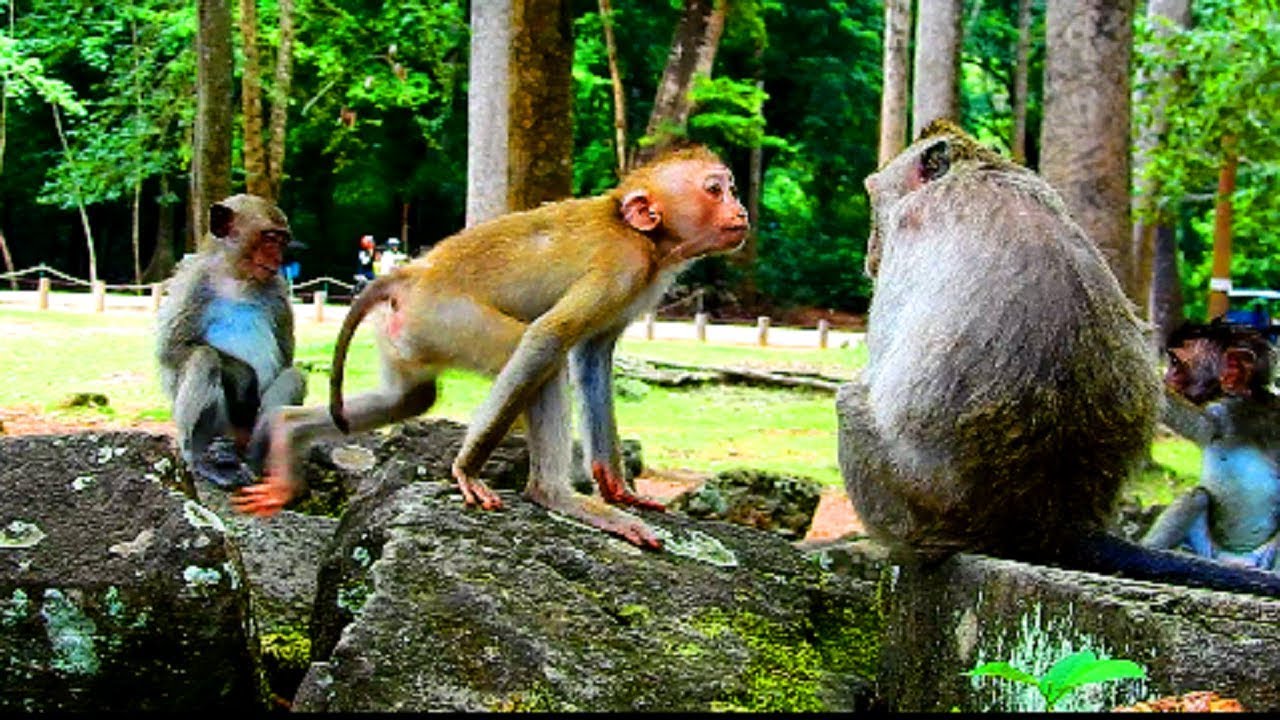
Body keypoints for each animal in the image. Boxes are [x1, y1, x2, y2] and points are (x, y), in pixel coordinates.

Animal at [157, 194, 307, 490]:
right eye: (270, 238)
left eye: (282, 240)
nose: (278, 258)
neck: (237, 277)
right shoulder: (194, 282)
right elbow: (172, 348)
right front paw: (244, 377)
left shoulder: (279, 291)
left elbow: (287, 360)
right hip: (222, 428)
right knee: (204, 359)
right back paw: (204, 458)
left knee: (294, 377)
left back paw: (252, 459)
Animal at [232, 146, 750, 549]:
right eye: (715, 190)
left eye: (730, 188)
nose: (741, 210)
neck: (648, 240)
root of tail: (412, 272)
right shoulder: (621, 265)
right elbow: (550, 336)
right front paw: (464, 470)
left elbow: (594, 357)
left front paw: (615, 482)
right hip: (447, 318)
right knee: (537, 357)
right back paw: (552, 494)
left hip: (407, 333)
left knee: (410, 398)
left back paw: (287, 430)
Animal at [1142, 319, 1280, 571]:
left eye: (1175, 363)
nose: (1166, 379)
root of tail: (1236, 559)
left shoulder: (1225, 412)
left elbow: (1192, 420)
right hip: (1209, 550)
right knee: (1198, 497)